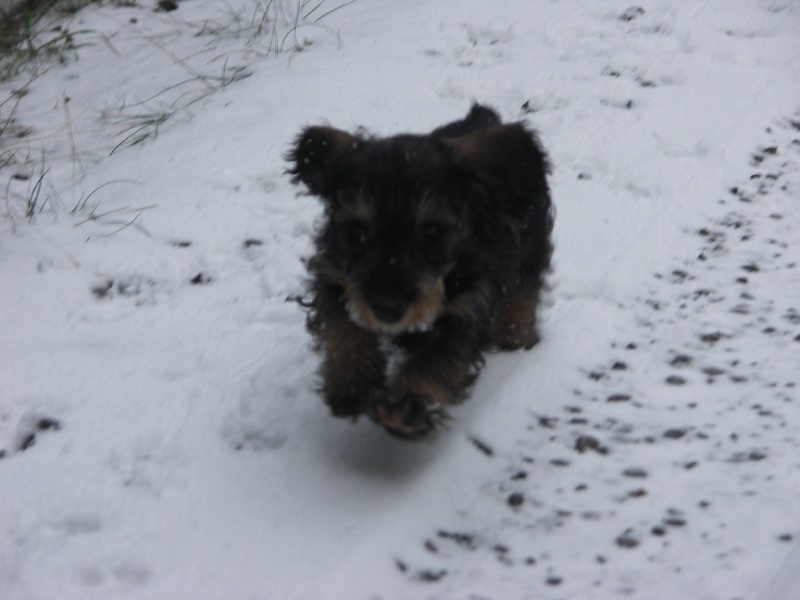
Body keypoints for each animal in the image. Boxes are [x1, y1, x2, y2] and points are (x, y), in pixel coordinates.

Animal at [290, 103, 556, 438]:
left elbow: (437, 358)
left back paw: (515, 335)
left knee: (524, 292)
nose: (388, 309)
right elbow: (344, 327)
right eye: (357, 231)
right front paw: (351, 381)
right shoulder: (334, 277)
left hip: (530, 249)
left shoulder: (469, 305)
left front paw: (405, 405)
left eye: (431, 230)